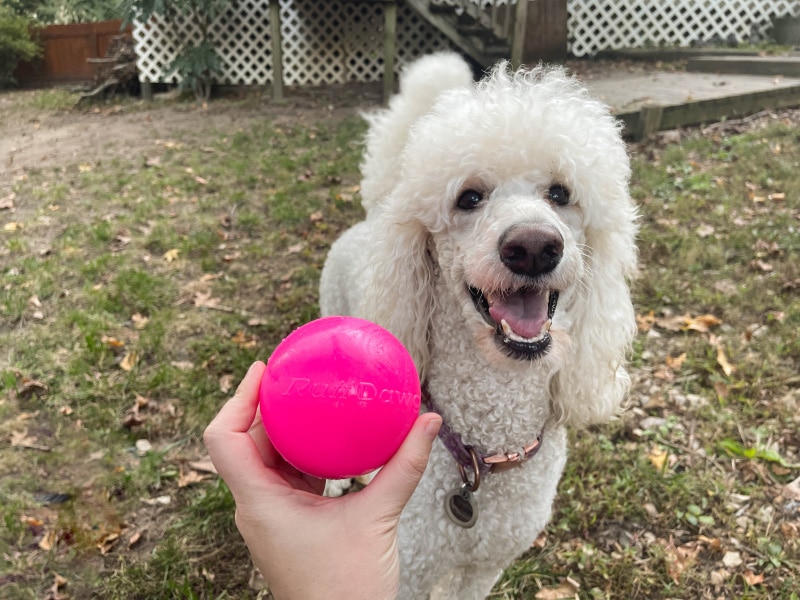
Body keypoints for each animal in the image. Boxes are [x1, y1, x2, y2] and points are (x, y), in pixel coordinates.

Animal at [318, 52, 636, 600]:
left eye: (560, 193)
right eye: (469, 198)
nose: (534, 247)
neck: (488, 448)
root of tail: (374, 212)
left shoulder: (485, 566)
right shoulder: (406, 568)